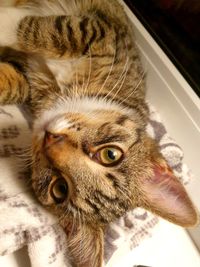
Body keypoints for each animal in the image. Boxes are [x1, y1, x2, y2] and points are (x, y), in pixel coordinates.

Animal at [0, 0, 198, 267]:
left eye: (60, 189)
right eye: (111, 155)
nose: (51, 139)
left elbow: (29, 37)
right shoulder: (103, 33)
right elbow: (46, 31)